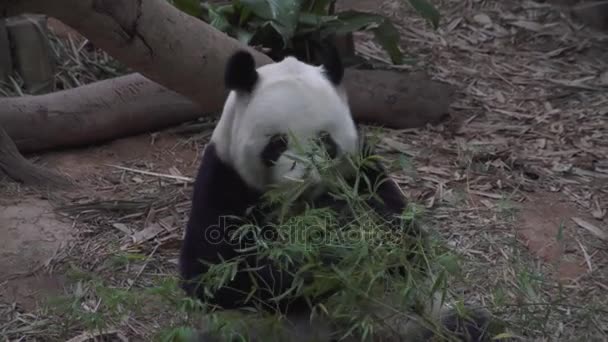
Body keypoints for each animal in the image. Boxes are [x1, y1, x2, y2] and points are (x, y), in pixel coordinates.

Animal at [178, 45, 502, 342]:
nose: (305, 180)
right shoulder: (223, 179)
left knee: (468, 327)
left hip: (412, 319)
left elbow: (408, 244)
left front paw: (347, 232)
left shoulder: (362, 171)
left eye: (325, 141)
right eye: (278, 143)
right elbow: (218, 276)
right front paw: (320, 253)